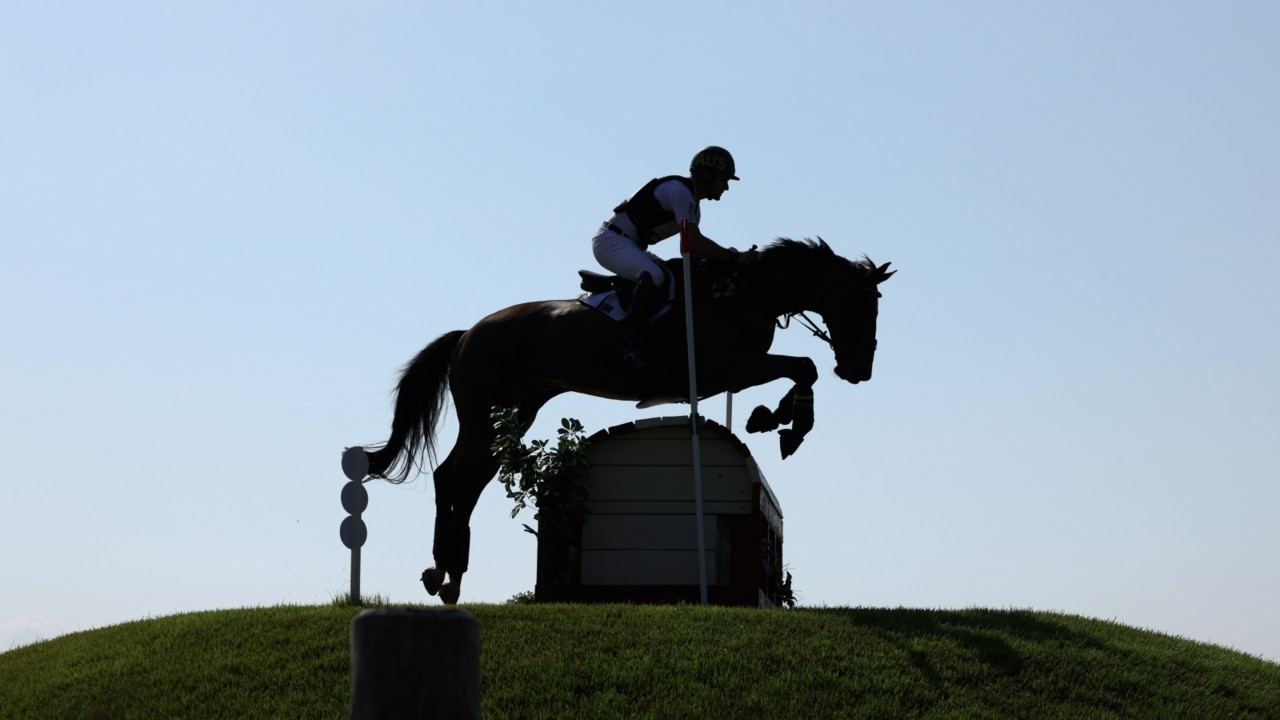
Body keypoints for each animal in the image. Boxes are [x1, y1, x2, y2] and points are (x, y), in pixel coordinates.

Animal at [348, 238, 890, 602]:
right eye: (861, 304)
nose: (859, 370)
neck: (742, 294)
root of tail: (467, 334)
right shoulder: (728, 366)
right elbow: (804, 366)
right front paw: (785, 423)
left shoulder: (735, 370)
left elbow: (801, 369)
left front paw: (772, 417)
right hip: (487, 413)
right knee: (452, 476)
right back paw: (442, 571)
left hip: (516, 414)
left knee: (471, 479)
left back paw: (450, 576)